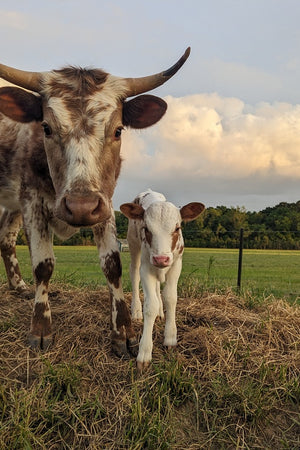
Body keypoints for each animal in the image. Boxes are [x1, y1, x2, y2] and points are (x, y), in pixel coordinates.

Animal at [0, 48, 191, 358]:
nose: (80, 206)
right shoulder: (32, 200)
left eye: (118, 130)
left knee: (5, 237)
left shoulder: (105, 202)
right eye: (46, 128)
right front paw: (41, 328)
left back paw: (18, 287)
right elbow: (43, 264)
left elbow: (113, 264)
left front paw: (123, 331)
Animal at [119, 188, 204, 370]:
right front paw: (144, 352)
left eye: (177, 228)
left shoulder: (176, 264)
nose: (161, 259)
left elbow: (170, 298)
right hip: (134, 246)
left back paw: (160, 312)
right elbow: (149, 305)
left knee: (158, 287)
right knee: (134, 274)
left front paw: (170, 338)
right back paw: (136, 311)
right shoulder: (146, 267)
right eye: (146, 228)